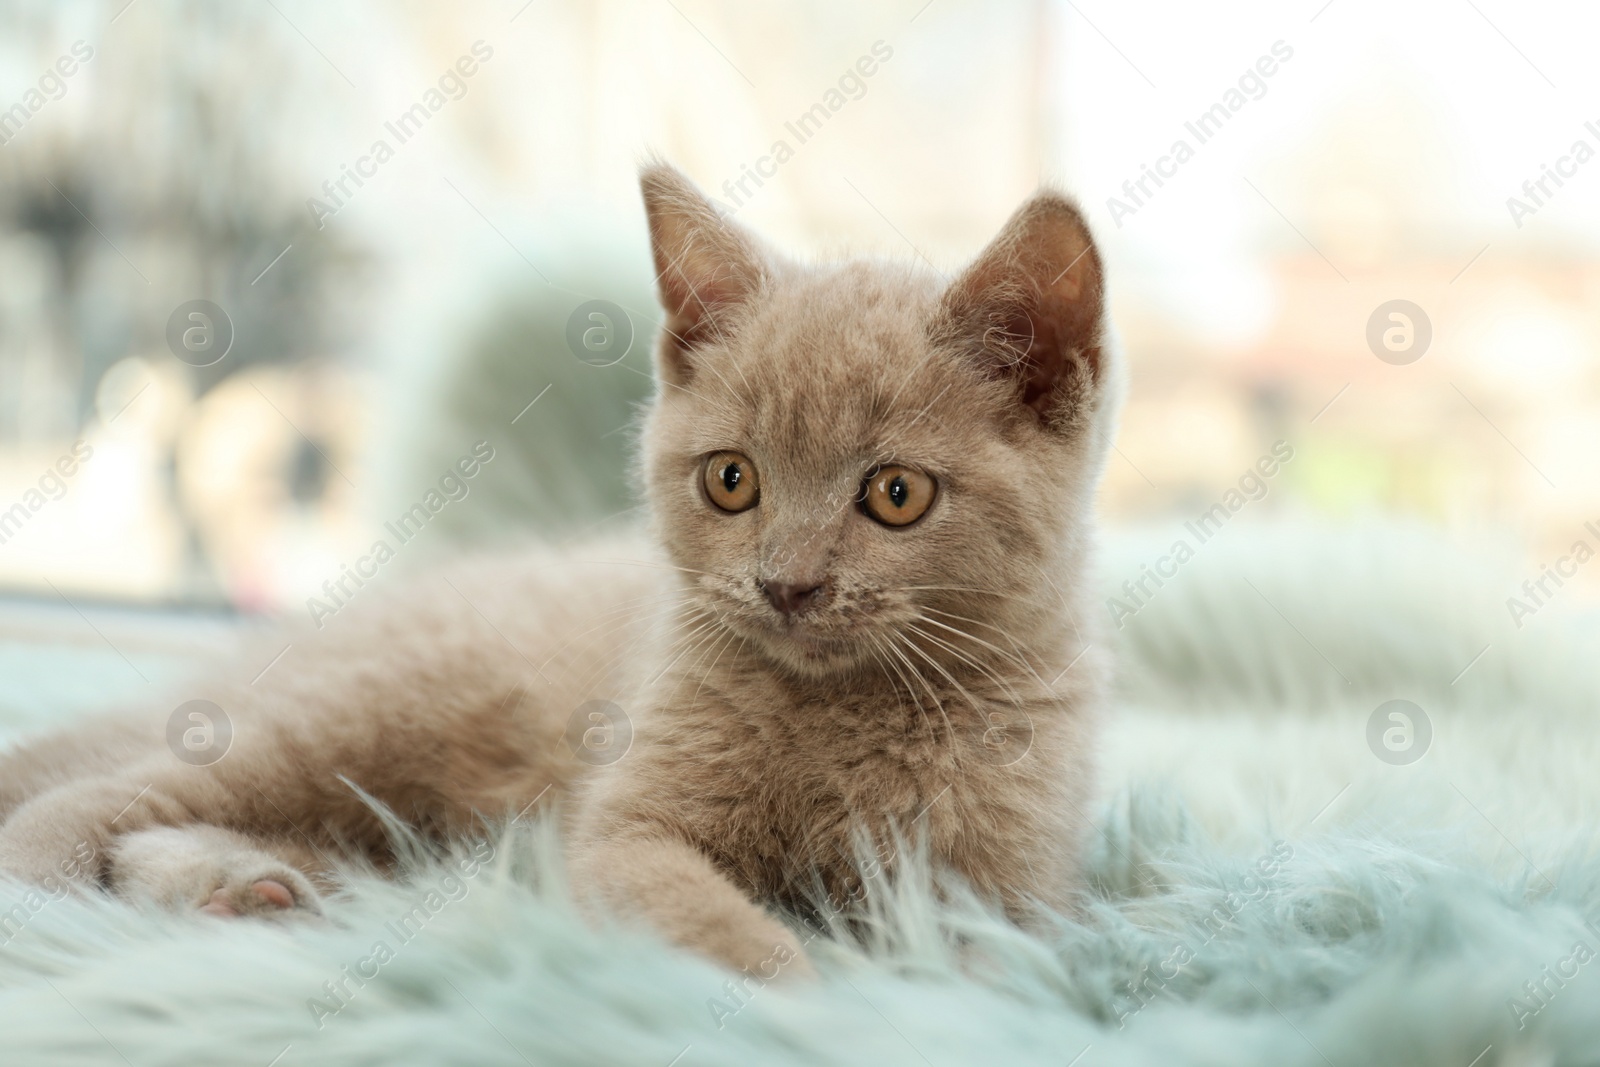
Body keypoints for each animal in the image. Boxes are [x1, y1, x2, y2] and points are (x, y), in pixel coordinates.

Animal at [0, 160, 1113, 979]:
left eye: (896, 494)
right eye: (732, 479)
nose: (786, 583)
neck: (847, 713)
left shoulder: (1008, 890)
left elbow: (995, 970)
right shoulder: (625, 831)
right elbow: (731, 935)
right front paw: (814, 1003)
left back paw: (243, 890)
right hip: (362, 714)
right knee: (102, 788)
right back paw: (53, 891)